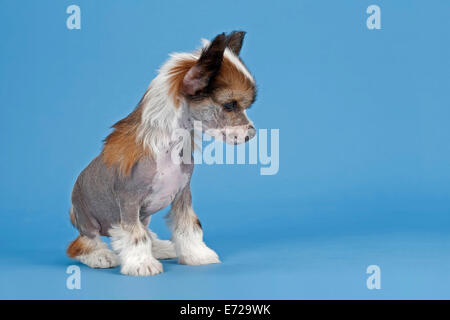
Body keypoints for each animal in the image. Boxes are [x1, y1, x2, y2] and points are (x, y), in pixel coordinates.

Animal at [66, 31, 256, 276]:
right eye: (230, 105)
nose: (251, 134)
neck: (168, 147)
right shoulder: (128, 202)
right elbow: (135, 235)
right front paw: (141, 263)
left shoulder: (183, 194)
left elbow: (189, 226)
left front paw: (196, 254)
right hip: (87, 220)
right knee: (82, 243)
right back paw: (99, 255)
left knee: (146, 231)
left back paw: (159, 247)